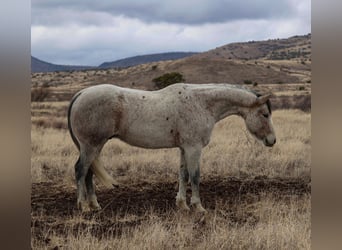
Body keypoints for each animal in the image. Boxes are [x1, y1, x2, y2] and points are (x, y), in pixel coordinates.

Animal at [67, 83, 276, 213]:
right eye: (265, 114)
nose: (272, 140)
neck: (202, 104)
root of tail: (81, 94)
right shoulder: (194, 148)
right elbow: (195, 176)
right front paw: (198, 207)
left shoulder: (184, 148)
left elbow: (183, 175)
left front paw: (182, 204)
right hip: (91, 146)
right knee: (80, 170)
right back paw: (83, 206)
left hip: (95, 147)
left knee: (88, 173)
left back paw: (94, 205)